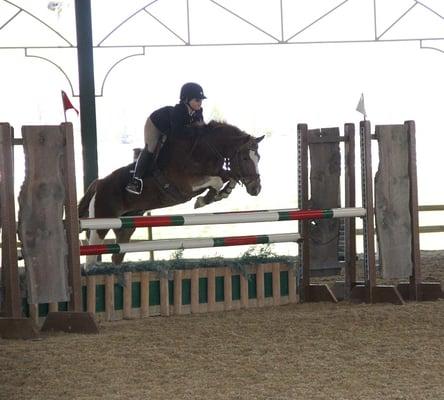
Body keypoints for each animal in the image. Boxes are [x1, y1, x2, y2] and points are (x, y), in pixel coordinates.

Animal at [79, 120, 264, 268]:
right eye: (245, 158)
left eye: (259, 158)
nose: (256, 189)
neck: (204, 150)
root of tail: (98, 183)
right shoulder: (186, 185)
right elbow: (217, 180)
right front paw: (203, 200)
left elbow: (227, 177)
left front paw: (219, 194)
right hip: (101, 221)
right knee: (91, 254)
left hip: (126, 225)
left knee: (116, 255)